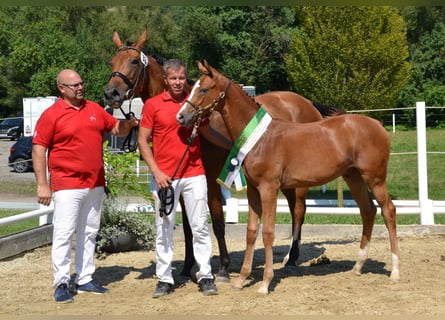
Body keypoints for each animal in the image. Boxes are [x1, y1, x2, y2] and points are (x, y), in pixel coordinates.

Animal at [103, 29, 340, 280]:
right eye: (112, 62)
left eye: (134, 61)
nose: (111, 93)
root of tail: (306, 103)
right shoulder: (181, 180)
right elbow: (187, 226)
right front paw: (187, 266)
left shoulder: (209, 179)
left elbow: (216, 222)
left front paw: (224, 267)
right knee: (295, 209)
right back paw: (289, 257)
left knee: (299, 210)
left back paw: (292, 258)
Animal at [176, 59, 398, 292]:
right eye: (192, 88)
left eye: (203, 89)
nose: (181, 116)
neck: (260, 138)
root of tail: (377, 124)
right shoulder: (253, 190)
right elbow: (251, 231)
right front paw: (241, 279)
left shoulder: (269, 189)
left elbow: (268, 233)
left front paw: (265, 283)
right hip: (354, 178)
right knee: (368, 211)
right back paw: (358, 266)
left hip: (375, 178)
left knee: (388, 211)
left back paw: (395, 272)